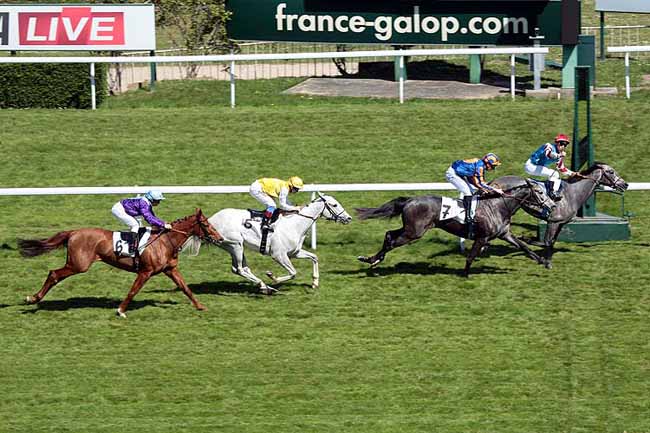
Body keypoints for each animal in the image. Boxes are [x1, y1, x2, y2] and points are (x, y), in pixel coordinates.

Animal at [17, 208, 221, 316]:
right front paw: (121, 310)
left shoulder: (170, 269)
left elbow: (186, 288)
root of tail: (73, 232)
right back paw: (32, 298)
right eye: (206, 224)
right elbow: (133, 291)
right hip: (78, 265)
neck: (165, 241)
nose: (219, 238)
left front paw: (200, 306)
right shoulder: (145, 272)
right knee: (54, 274)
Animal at [206, 193, 350, 292]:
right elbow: (293, 273)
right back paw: (265, 286)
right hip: (235, 245)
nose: (348, 218)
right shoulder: (278, 255)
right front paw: (273, 277)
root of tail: (211, 219)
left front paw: (315, 282)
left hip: (233, 247)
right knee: (240, 269)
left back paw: (264, 286)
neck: (295, 224)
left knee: (238, 269)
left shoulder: (294, 253)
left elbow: (314, 257)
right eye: (335, 205)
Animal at [354, 176, 548, 276]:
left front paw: (544, 262)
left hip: (410, 229)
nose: (551, 204)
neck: (498, 205)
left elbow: (524, 247)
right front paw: (465, 274)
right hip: (414, 232)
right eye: (539, 192)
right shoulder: (482, 237)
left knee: (389, 235)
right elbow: (470, 257)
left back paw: (372, 260)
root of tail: (409, 200)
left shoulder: (505, 234)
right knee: (392, 240)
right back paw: (371, 260)